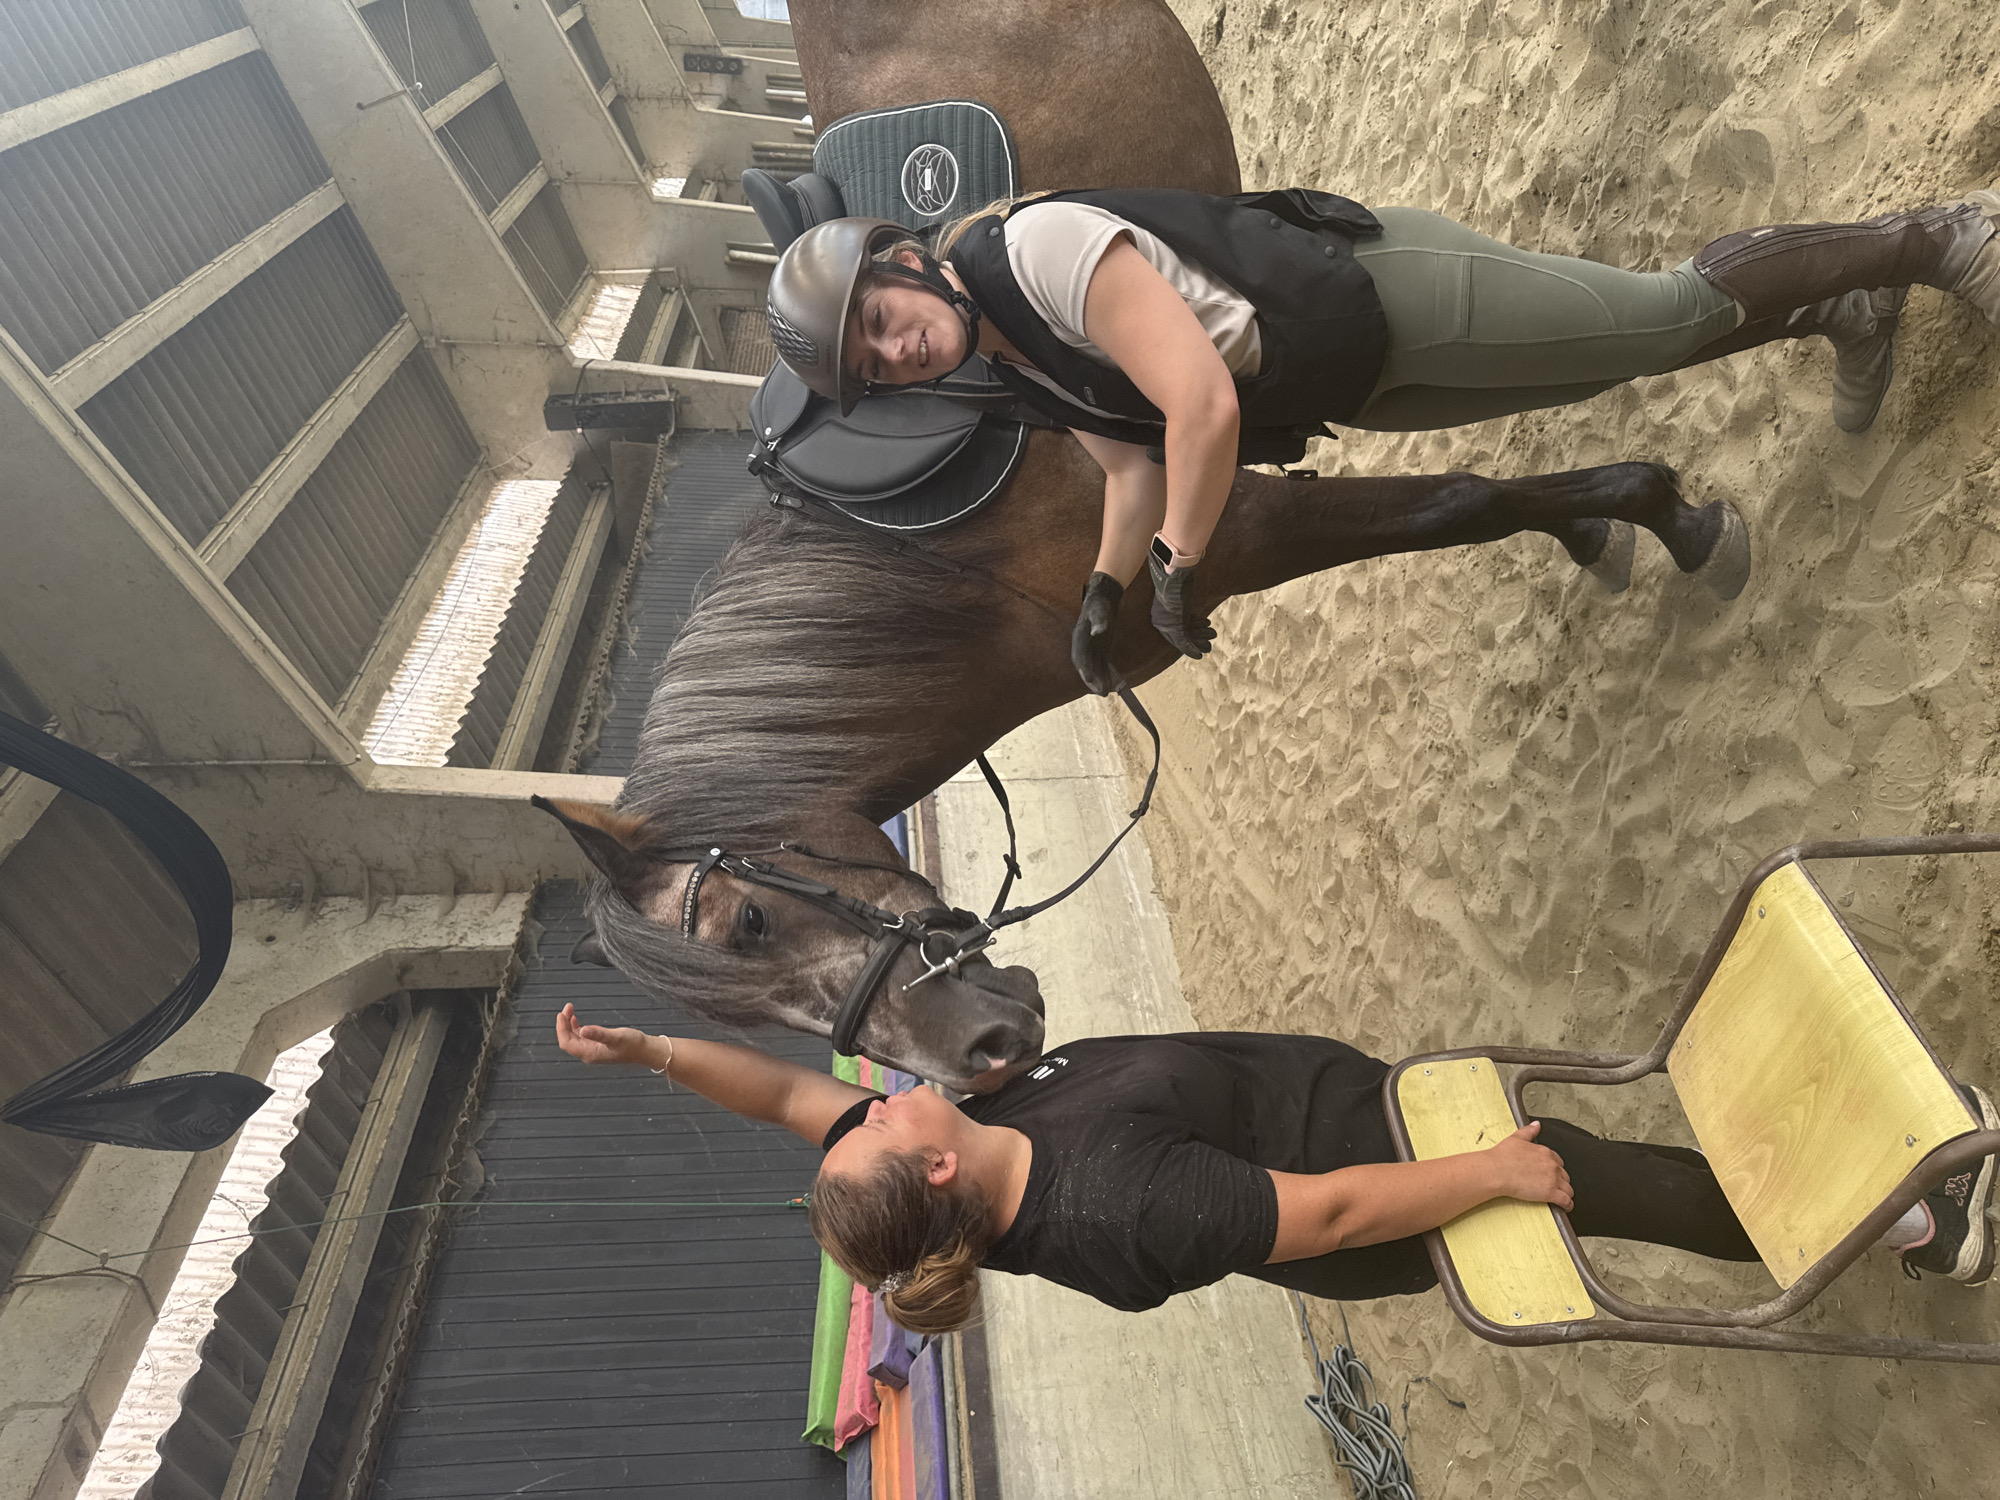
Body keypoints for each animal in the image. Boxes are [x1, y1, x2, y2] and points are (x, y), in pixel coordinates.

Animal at [542, 0, 1744, 1091]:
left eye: (749, 922)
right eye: (744, 1017)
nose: (982, 1058)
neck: (946, 562)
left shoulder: (1240, 525)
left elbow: (1457, 503)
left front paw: (1650, 510)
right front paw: (1599, 523)